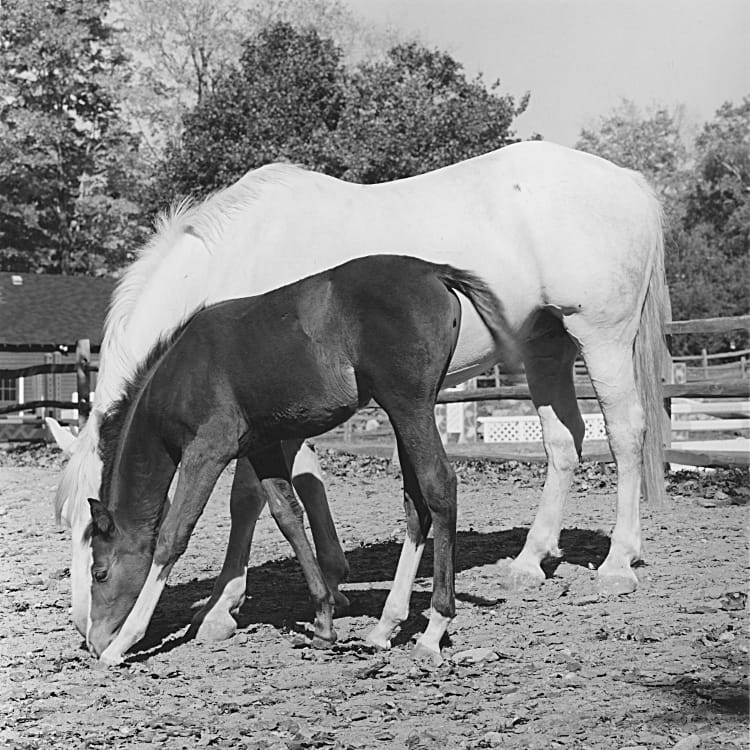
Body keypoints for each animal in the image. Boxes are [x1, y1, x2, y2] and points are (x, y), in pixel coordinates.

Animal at [85, 255, 517, 665]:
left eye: (99, 572)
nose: (92, 640)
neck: (178, 374)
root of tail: (433, 271)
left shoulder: (206, 451)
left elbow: (173, 536)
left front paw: (122, 644)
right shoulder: (260, 446)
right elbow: (287, 515)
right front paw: (324, 622)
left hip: (409, 405)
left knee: (438, 486)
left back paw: (433, 630)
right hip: (405, 412)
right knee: (416, 503)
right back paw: (385, 627)